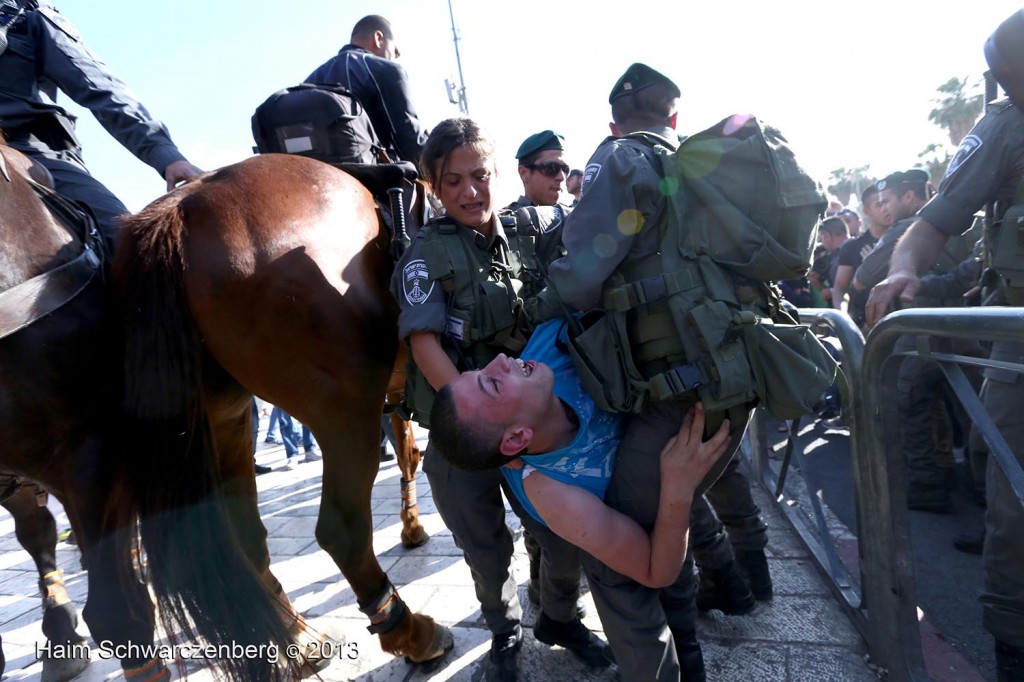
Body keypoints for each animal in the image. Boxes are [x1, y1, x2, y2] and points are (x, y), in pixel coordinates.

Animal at [114, 151, 450, 667]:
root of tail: (183, 208)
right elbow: (413, 453)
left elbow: (409, 452)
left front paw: (412, 526)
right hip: (344, 411)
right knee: (341, 530)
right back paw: (409, 632)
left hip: (226, 422)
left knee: (247, 536)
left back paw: (296, 638)